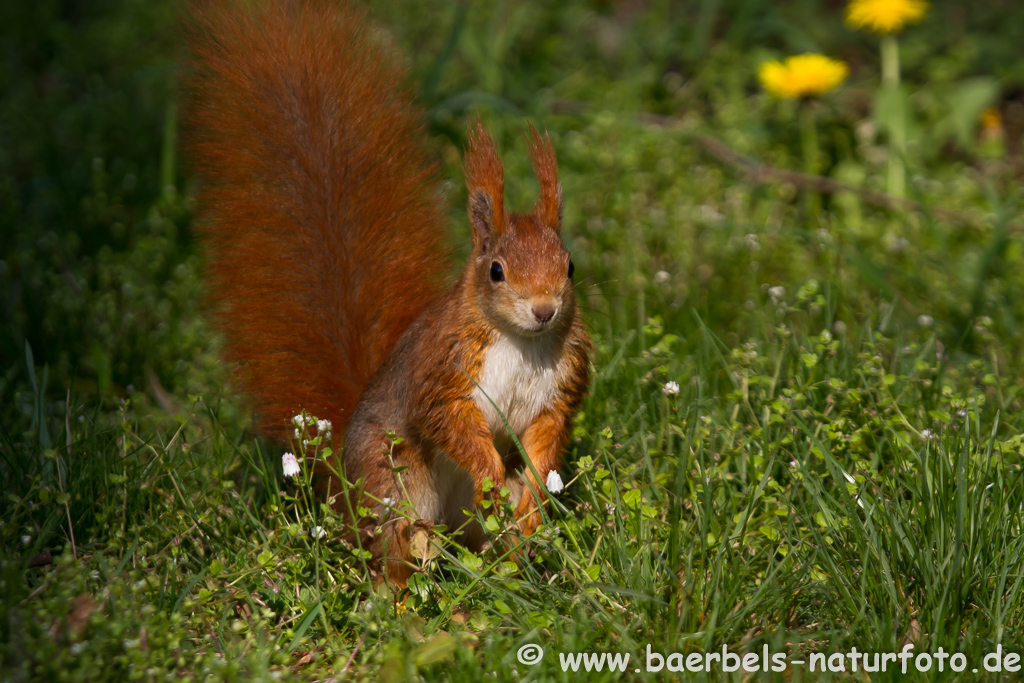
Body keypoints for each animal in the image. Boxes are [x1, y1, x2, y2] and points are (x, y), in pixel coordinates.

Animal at [184, 1, 593, 589]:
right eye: (496, 271)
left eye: (570, 266)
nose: (544, 310)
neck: (523, 342)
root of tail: (344, 488)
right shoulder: (442, 370)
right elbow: (448, 422)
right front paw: (489, 472)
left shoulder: (561, 386)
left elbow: (545, 439)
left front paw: (534, 501)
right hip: (394, 486)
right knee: (394, 559)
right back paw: (407, 604)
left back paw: (513, 565)